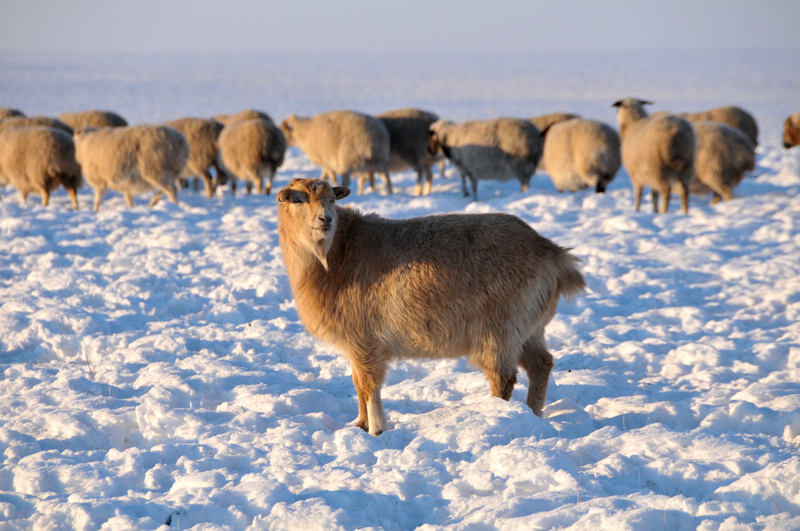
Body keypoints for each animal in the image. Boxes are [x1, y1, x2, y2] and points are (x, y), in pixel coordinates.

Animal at [278, 179, 584, 436]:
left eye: (332, 199)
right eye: (297, 200)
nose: (325, 219)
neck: (337, 253)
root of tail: (553, 254)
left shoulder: (365, 342)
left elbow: (369, 386)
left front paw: (376, 429)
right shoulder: (356, 347)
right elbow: (357, 384)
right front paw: (361, 425)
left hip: (500, 330)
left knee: (504, 378)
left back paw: (499, 415)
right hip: (529, 328)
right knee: (541, 364)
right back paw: (533, 413)